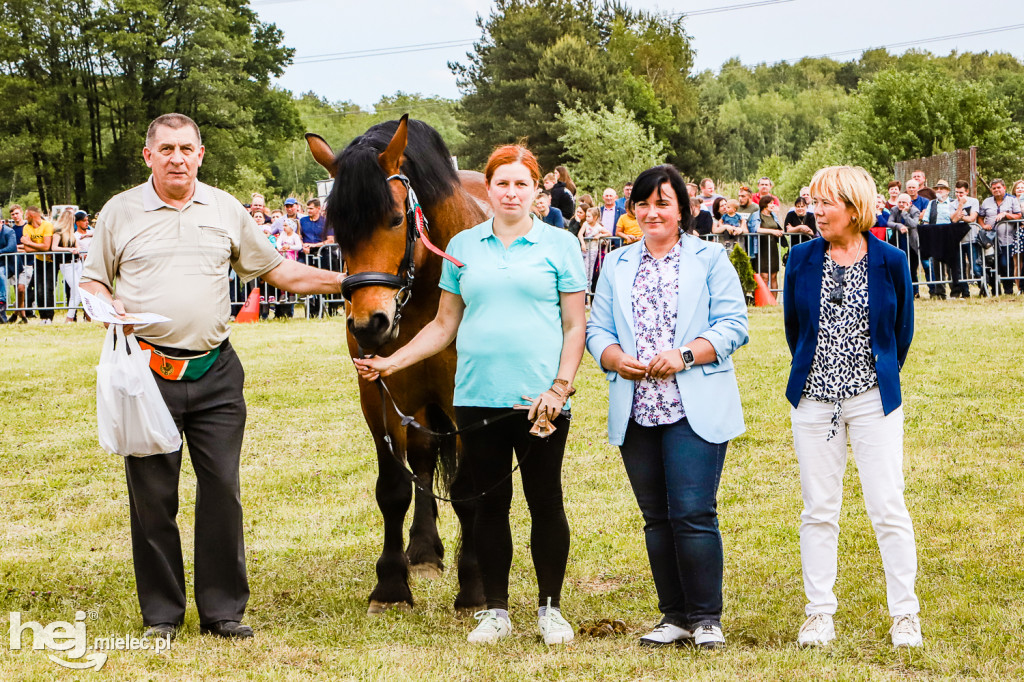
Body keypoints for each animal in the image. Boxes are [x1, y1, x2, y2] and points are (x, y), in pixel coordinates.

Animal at [305, 114, 489, 614]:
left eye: (393, 219)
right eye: (338, 229)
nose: (370, 323)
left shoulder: (464, 400)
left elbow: (467, 491)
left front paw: (474, 585)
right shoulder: (378, 397)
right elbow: (393, 489)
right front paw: (390, 585)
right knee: (422, 461)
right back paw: (424, 551)